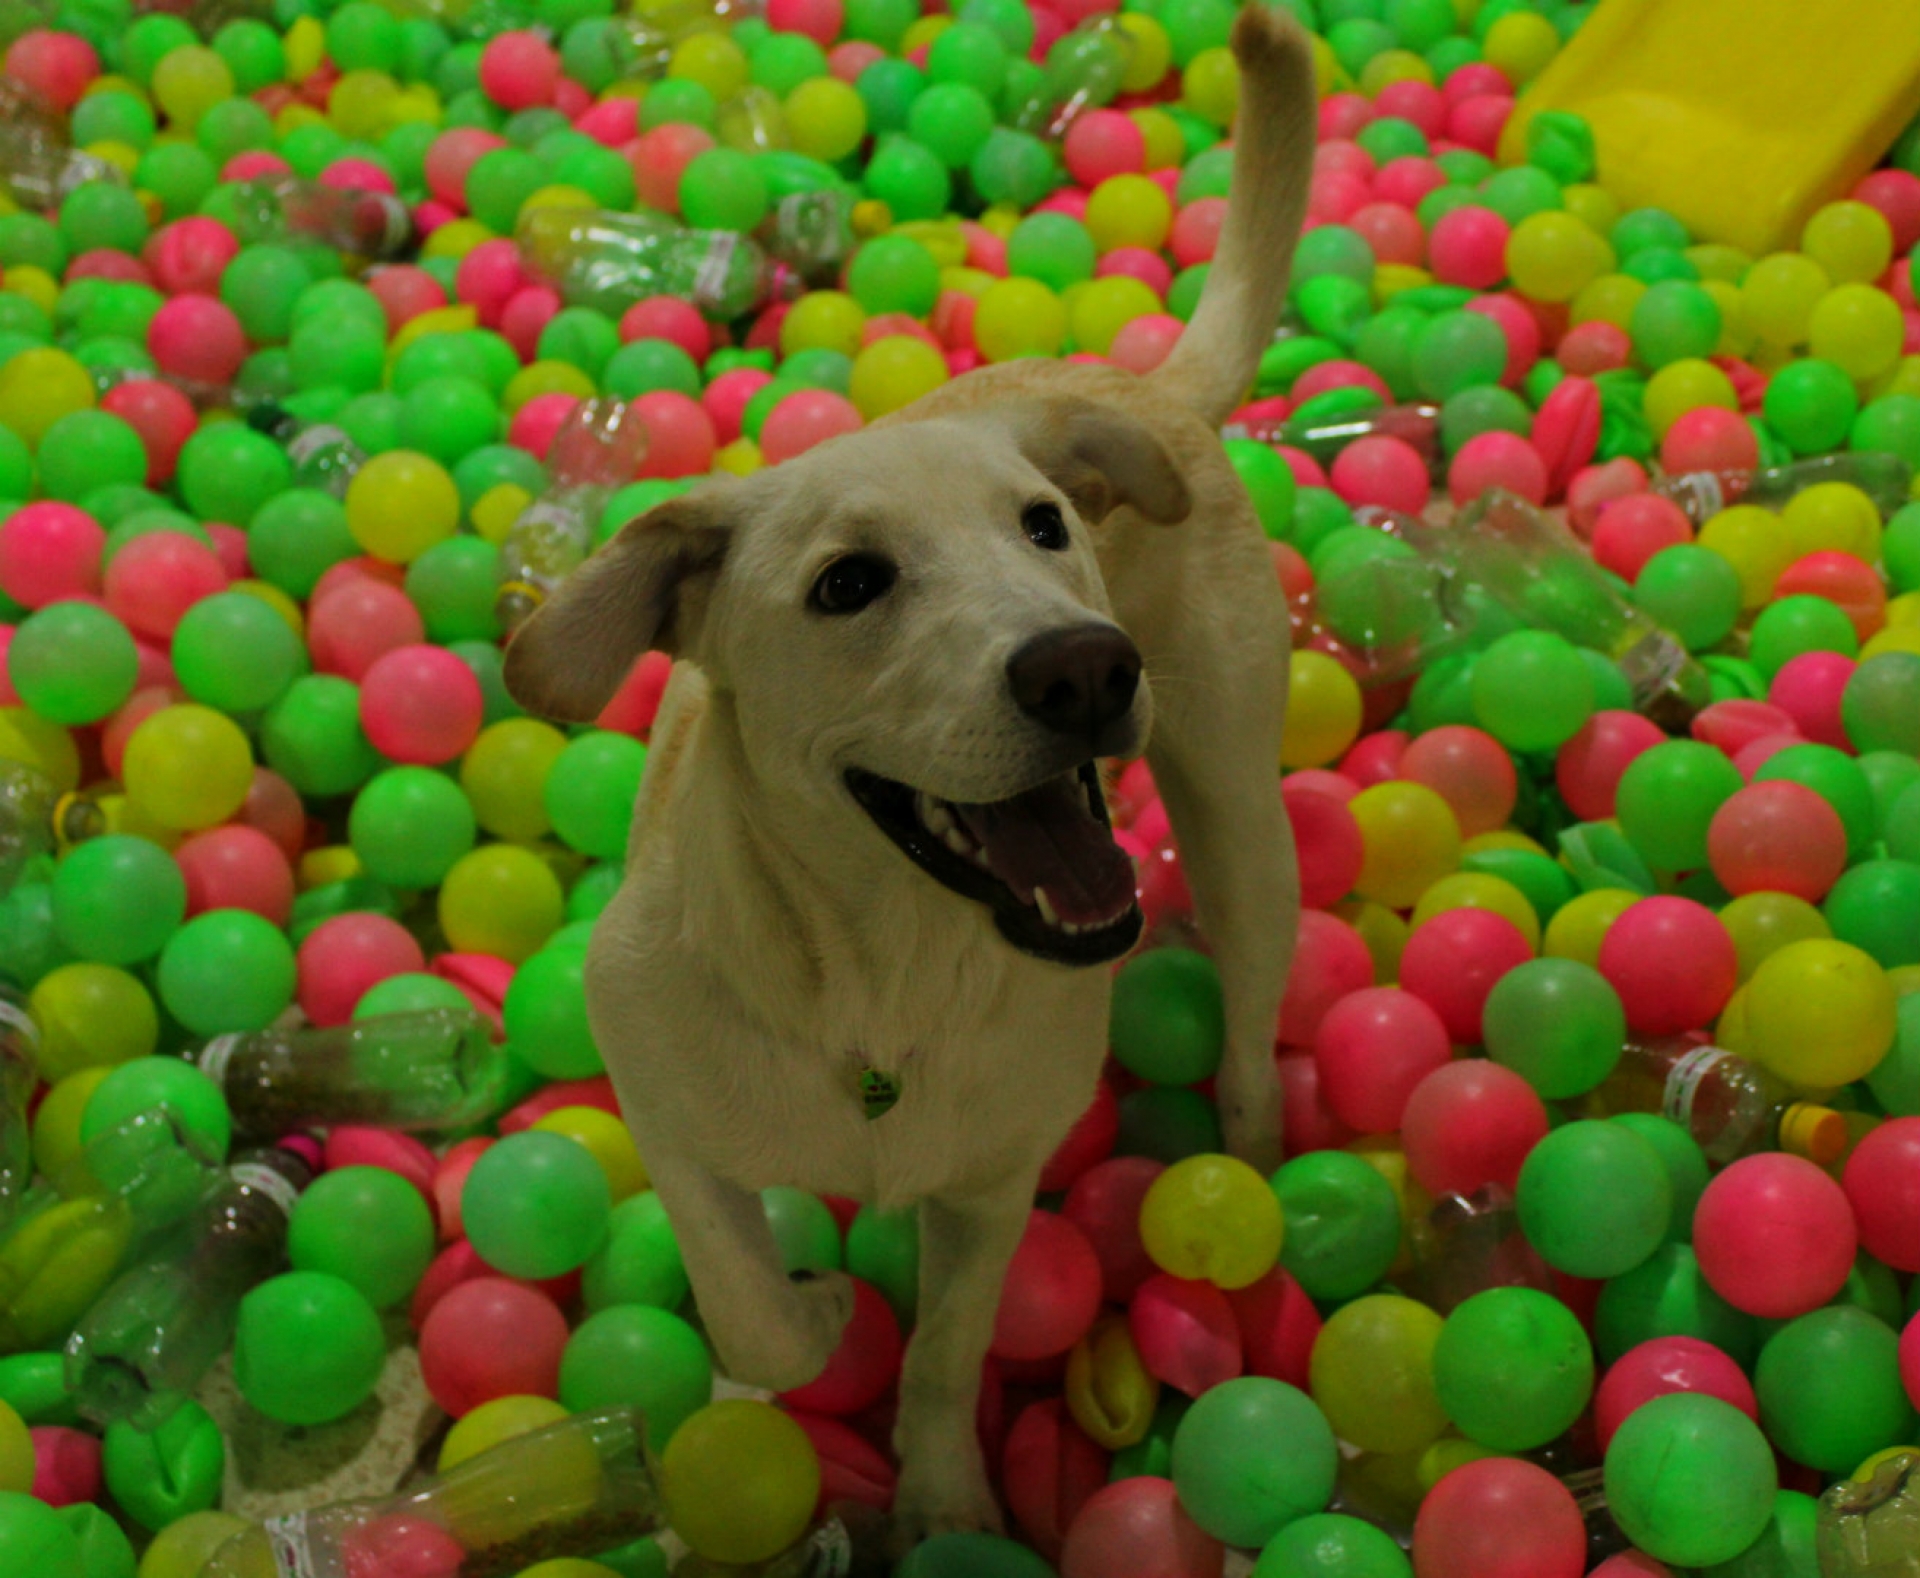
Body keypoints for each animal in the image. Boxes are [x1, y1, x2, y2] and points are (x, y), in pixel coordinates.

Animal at [503, 5, 1315, 1545]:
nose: (1086, 668)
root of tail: (1128, 383)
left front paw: (942, 1500)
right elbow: (751, 1313)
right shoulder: (660, 1103)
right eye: (849, 584)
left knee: (1251, 1001)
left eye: (1046, 526)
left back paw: (1254, 1141)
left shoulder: (993, 1185)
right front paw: (811, 1325)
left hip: (1241, 805)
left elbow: (944, 1353)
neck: (882, 986)